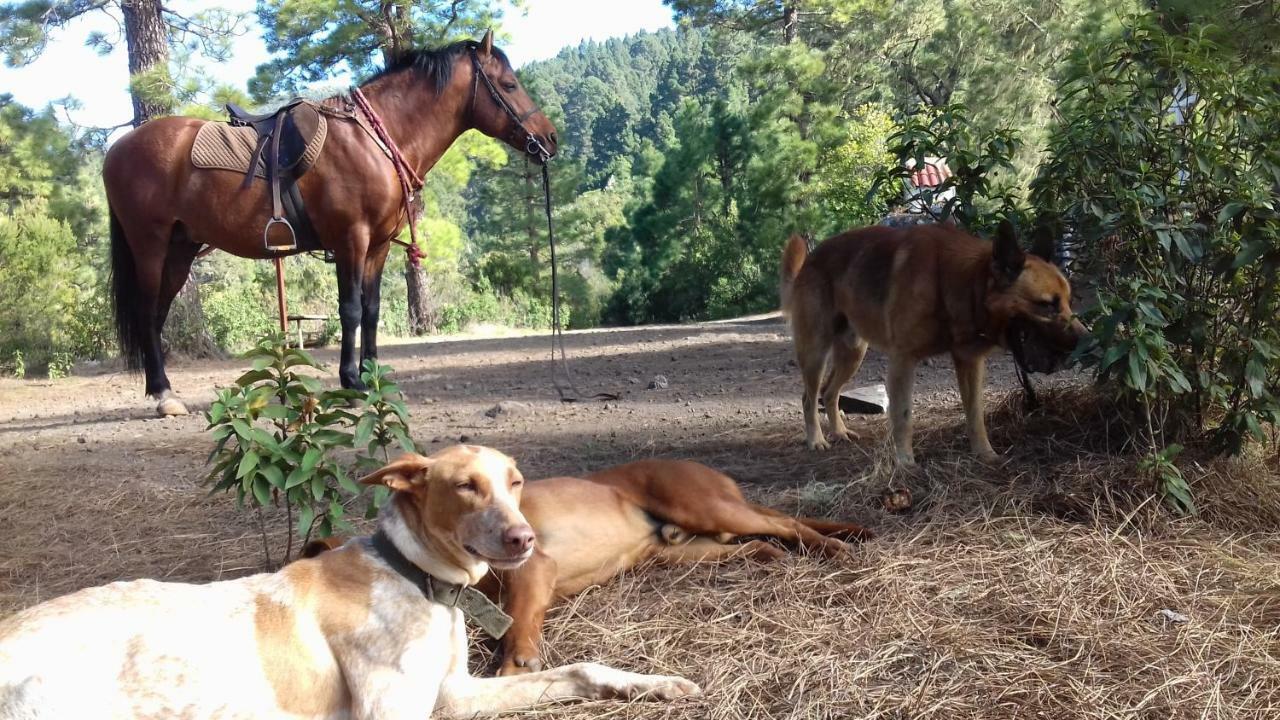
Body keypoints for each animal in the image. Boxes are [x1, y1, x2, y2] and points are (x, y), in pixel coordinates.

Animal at [0, 443, 701, 717]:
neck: (417, 578)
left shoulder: (453, 692)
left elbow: (580, 670)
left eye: (515, 482)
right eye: (464, 487)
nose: (525, 540)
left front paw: (660, 684)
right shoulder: (395, 711)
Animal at [103, 30, 555, 415]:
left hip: (180, 251)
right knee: (146, 312)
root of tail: (118, 149)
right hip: (151, 246)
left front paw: (372, 378)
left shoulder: (378, 246)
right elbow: (350, 310)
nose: (550, 139)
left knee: (157, 314)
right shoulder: (351, 240)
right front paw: (351, 381)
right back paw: (163, 395)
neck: (373, 141)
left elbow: (371, 310)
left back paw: (160, 389)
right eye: (509, 85)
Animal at [304, 456, 875, 676]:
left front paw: (517, 663)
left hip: (706, 507)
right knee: (761, 539)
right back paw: (781, 552)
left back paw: (837, 546)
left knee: (789, 521)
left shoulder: (535, 567)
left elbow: (519, 620)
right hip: (685, 548)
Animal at [773, 221, 1085, 461]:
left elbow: (975, 415)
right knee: (809, 397)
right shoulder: (903, 362)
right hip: (816, 353)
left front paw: (985, 454)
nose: (1087, 340)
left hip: (853, 354)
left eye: (1069, 302)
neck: (954, 281)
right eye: (1047, 305)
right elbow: (903, 417)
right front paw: (904, 462)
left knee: (829, 392)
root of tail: (810, 260)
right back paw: (816, 440)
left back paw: (838, 432)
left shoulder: (969, 364)